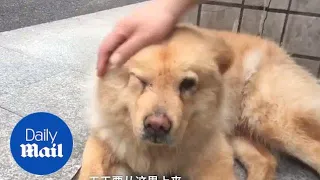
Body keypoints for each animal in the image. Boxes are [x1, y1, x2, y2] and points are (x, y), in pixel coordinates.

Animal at [78, 24, 320, 180]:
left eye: (187, 84)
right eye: (142, 81)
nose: (157, 125)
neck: (155, 152)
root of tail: (281, 51)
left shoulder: (215, 156)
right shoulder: (105, 142)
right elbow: (90, 170)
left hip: (275, 121)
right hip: (238, 131)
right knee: (265, 160)